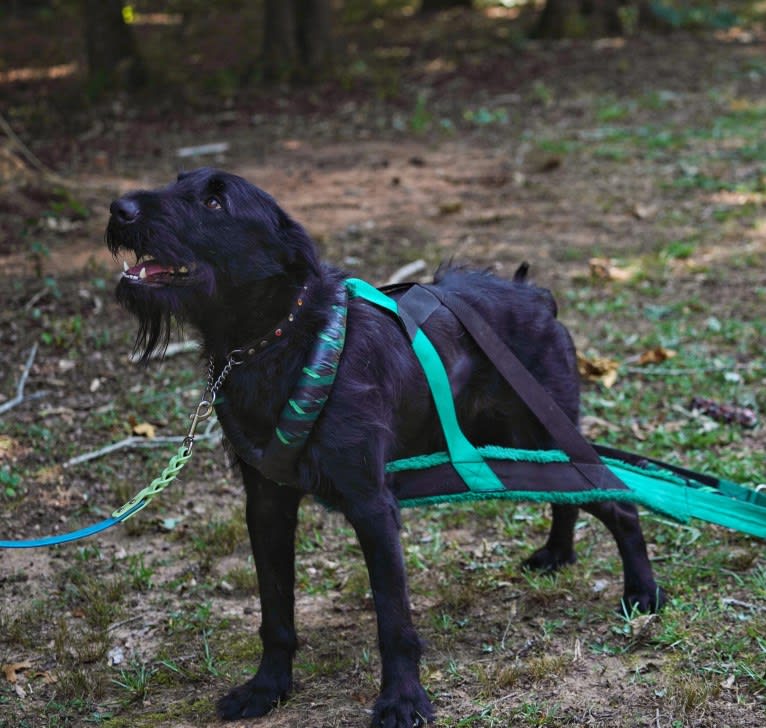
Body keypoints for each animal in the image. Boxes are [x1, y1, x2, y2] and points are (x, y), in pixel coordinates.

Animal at [108, 169, 664, 728]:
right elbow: (275, 611)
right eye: (178, 182)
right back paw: (558, 554)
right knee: (569, 497)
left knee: (619, 504)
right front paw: (267, 688)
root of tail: (537, 297)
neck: (278, 341)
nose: (119, 209)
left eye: (215, 202)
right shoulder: (265, 504)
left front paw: (402, 699)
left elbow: (393, 621)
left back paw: (641, 592)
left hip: (543, 437)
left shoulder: (372, 506)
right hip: (518, 446)